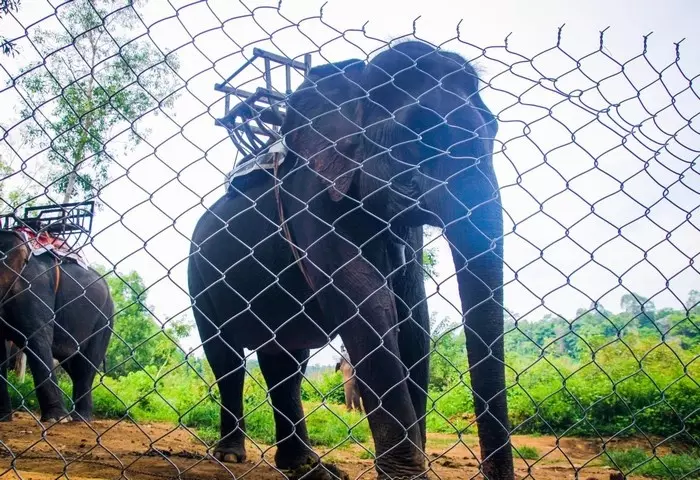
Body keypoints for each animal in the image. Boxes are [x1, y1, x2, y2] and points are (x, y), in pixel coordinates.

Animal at [0, 227, 113, 422]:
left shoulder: (35, 288)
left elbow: (37, 340)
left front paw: (57, 419)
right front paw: (3, 419)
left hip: (104, 319)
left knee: (86, 365)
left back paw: (79, 419)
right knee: (73, 365)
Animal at [190, 41, 516, 480]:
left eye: (494, 130)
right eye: (419, 133)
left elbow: (413, 319)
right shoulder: (312, 199)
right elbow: (371, 308)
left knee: (286, 365)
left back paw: (305, 465)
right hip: (199, 276)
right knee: (227, 359)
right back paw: (231, 457)